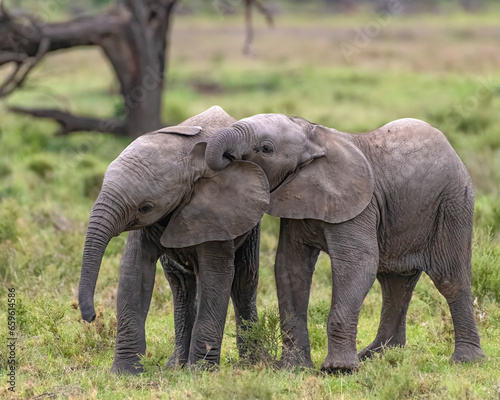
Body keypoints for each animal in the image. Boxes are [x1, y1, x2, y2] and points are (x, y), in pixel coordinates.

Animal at [77, 104, 270, 374]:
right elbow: (134, 271)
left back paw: (253, 363)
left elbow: (217, 275)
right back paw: (175, 365)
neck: (191, 160)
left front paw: (201, 373)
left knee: (243, 281)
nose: (91, 317)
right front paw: (124, 373)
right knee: (181, 285)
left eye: (145, 207)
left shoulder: (220, 212)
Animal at [205, 112, 486, 372]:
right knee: (394, 284)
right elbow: (290, 268)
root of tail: (450, 148)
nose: (227, 159)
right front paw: (293, 368)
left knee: (449, 278)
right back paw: (378, 355)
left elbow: (357, 264)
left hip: (452, 204)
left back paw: (466, 360)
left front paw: (338, 369)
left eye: (265, 148)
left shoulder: (360, 206)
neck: (313, 137)